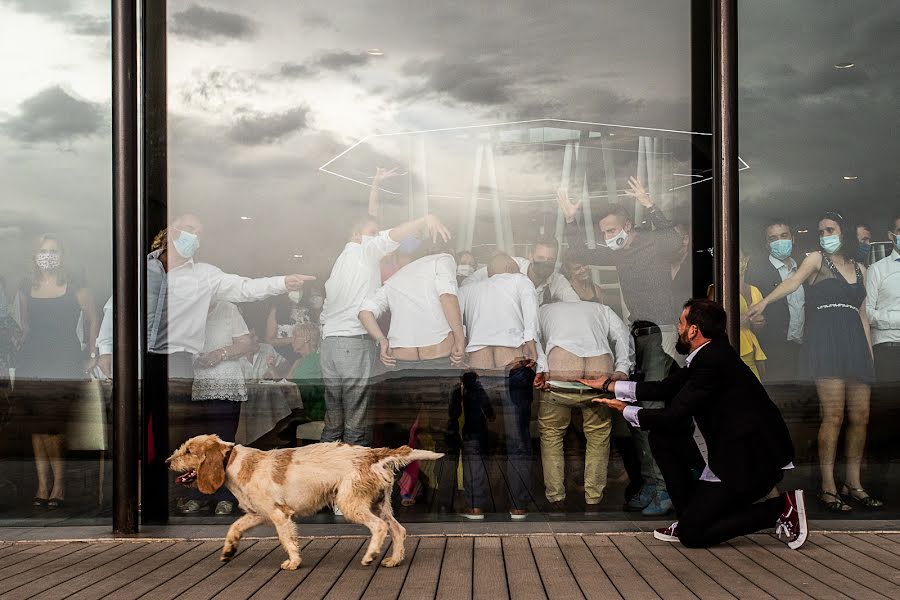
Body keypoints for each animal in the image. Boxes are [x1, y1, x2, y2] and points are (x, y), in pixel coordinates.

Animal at [166, 434, 442, 568]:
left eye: (189, 451)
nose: (167, 461)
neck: (232, 462)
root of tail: (372, 454)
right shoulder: (257, 514)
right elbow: (234, 528)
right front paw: (228, 551)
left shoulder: (279, 515)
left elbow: (287, 540)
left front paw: (293, 562)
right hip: (379, 504)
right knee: (398, 529)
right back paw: (394, 560)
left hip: (352, 504)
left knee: (380, 527)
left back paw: (370, 555)